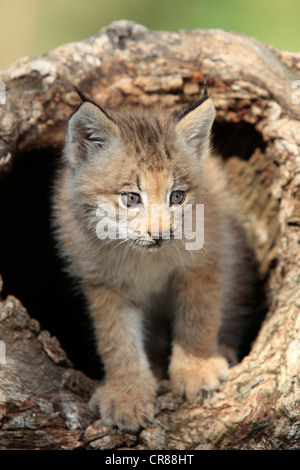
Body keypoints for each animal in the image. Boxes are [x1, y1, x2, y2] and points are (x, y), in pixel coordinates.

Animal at [52, 86, 254, 432]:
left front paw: (196, 368)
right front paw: (128, 394)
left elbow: (199, 316)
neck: (142, 256)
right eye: (131, 198)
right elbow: (117, 339)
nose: (159, 235)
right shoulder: (103, 282)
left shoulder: (206, 260)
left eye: (178, 197)